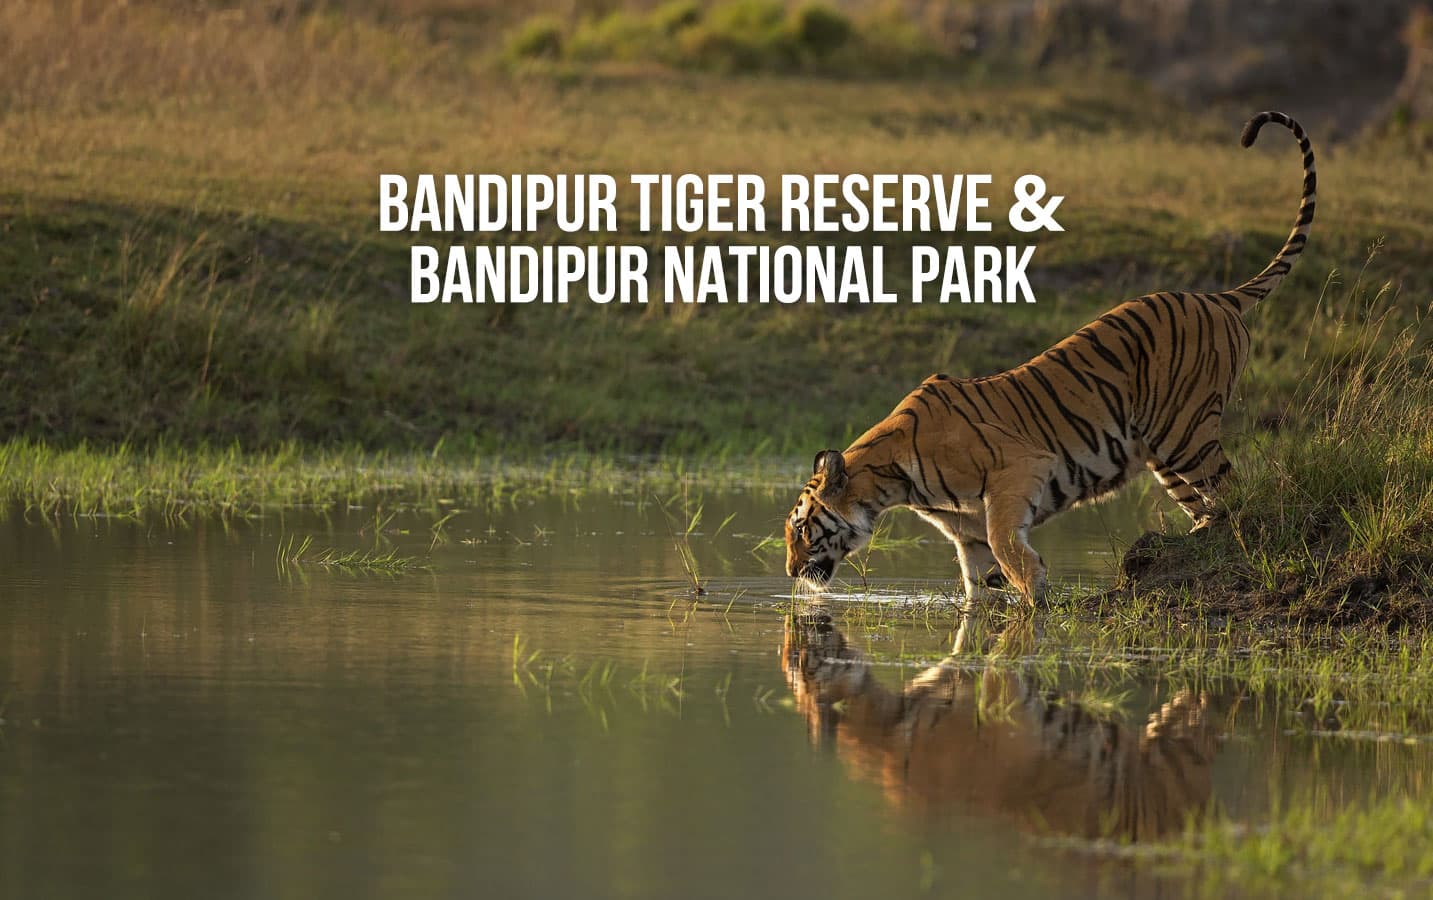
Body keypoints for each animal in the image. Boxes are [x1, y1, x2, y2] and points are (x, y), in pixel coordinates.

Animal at [783, 111, 1316, 605]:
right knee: (1207, 504)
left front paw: (1035, 589)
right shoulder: (966, 534)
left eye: (803, 529)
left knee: (1235, 493)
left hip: (1186, 432)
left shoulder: (1018, 469)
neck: (891, 483)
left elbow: (1005, 540)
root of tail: (1216, 296)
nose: (790, 572)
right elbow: (975, 593)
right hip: (1163, 449)